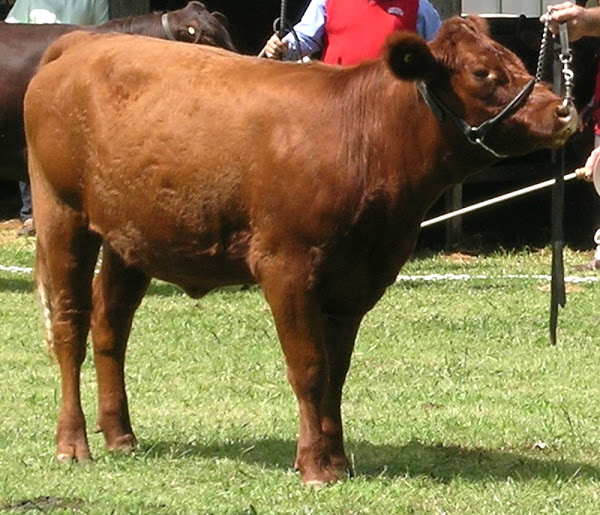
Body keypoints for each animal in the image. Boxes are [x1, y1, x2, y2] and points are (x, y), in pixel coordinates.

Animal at [23, 17, 576, 488]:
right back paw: (72, 444)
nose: (564, 110)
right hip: (61, 214)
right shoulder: (286, 266)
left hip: (130, 238)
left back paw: (120, 435)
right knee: (69, 325)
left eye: (516, 59)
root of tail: (81, 43)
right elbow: (309, 368)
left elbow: (336, 371)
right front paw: (314, 466)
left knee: (110, 326)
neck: (361, 137)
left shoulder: (357, 279)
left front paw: (338, 459)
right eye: (484, 73)